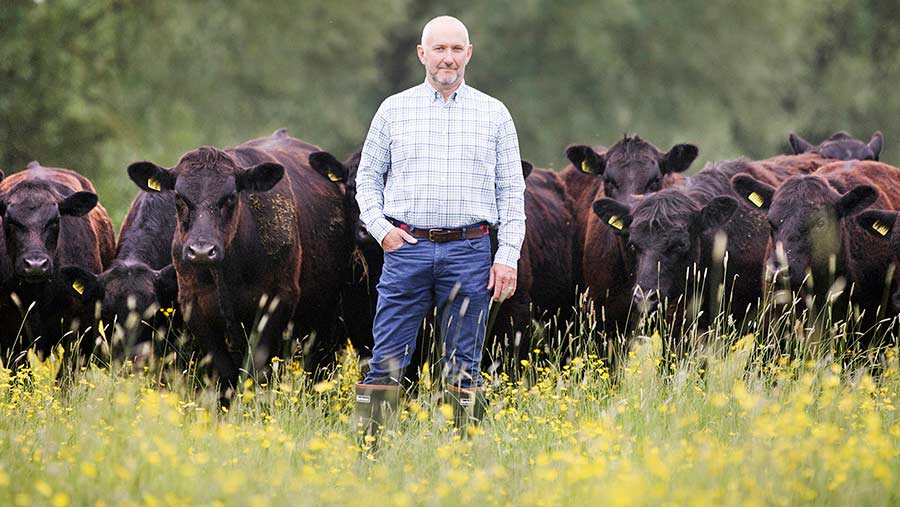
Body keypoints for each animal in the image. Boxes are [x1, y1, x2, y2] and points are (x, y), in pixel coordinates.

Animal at [128, 129, 350, 398]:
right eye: (179, 197)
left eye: (230, 196)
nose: (202, 251)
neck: (228, 272)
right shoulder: (195, 307)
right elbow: (225, 373)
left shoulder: (276, 302)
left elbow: (257, 371)